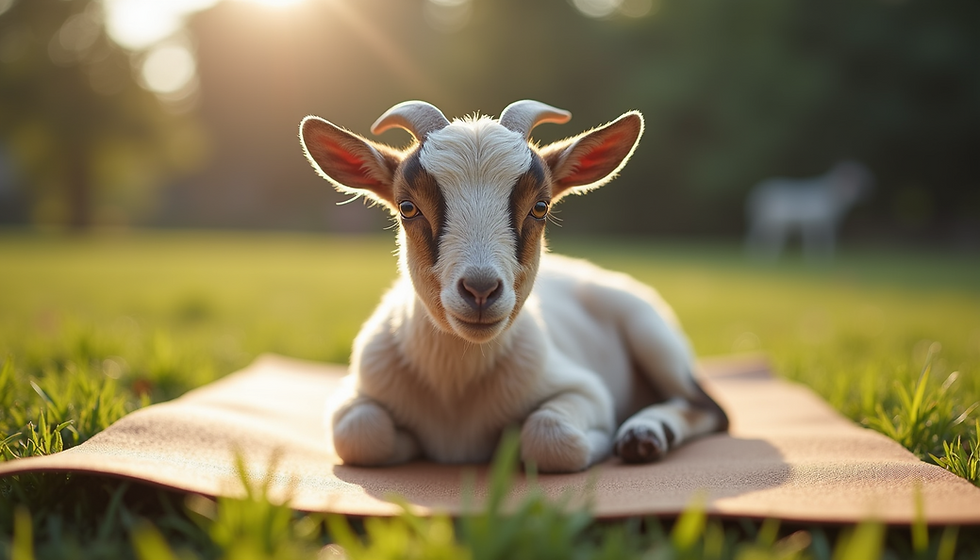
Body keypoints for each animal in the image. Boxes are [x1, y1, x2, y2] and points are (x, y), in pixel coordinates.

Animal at [299, 100, 728, 473]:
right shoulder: (357, 389)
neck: (456, 384)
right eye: (407, 207)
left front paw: (600, 442)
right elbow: (360, 433)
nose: (481, 291)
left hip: (651, 333)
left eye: (540, 207)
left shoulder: (584, 388)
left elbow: (550, 435)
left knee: (711, 408)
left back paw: (642, 435)